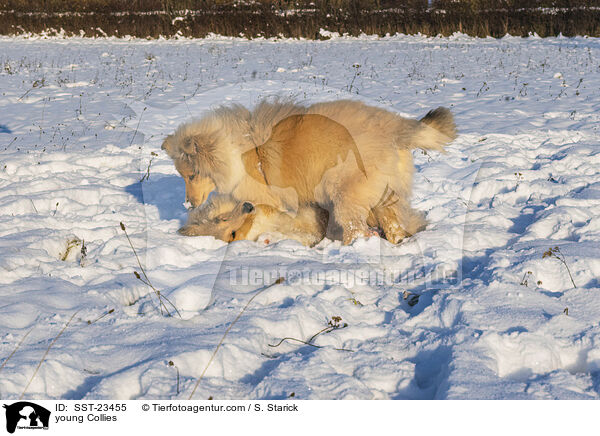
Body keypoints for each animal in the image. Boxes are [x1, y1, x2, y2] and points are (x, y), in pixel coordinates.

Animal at [162, 99, 458, 245]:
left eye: (192, 175)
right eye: (183, 176)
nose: (188, 204)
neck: (244, 153)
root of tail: (398, 129)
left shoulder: (266, 201)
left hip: (345, 194)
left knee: (355, 229)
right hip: (385, 194)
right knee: (393, 227)